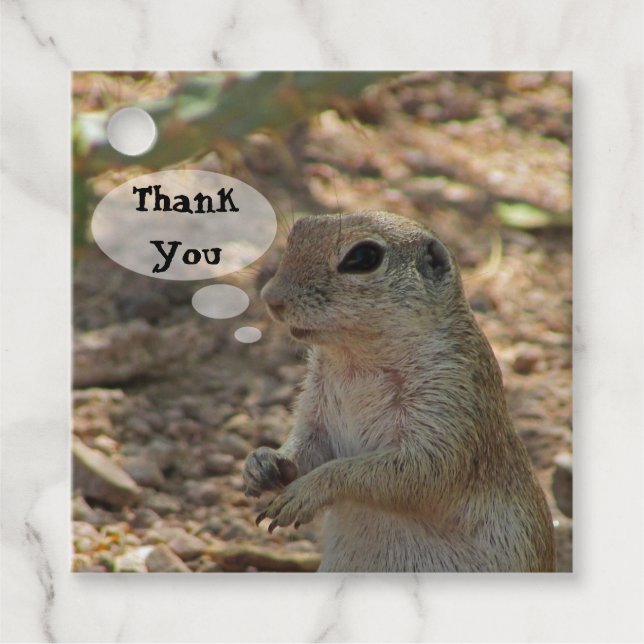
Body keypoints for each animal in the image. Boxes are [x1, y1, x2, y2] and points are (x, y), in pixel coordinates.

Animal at [243, 211, 556, 572]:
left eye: (363, 257)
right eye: (298, 231)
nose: (271, 297)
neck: (356, 362)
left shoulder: (450, 400)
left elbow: (414, 471)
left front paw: (306, 491)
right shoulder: (316, 409)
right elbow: (307, 446)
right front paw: (263, 462)